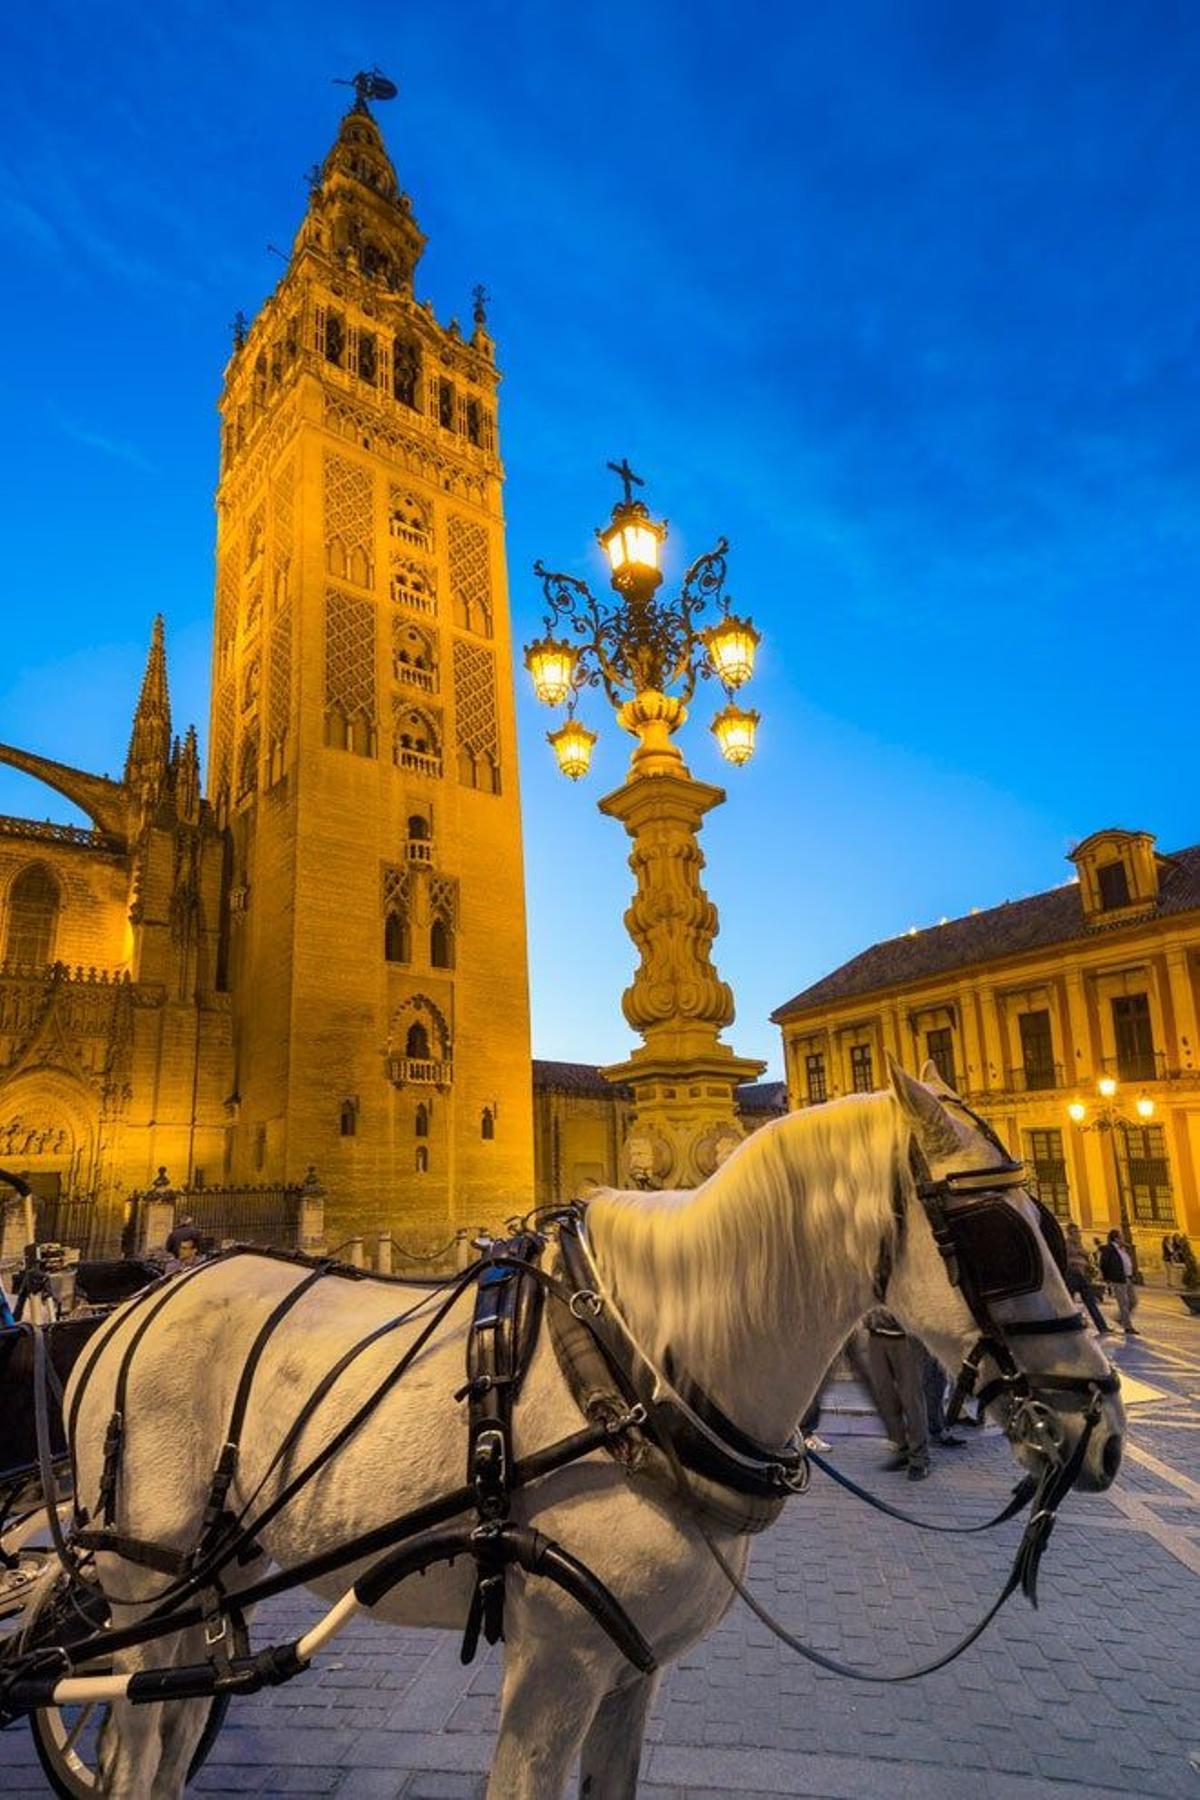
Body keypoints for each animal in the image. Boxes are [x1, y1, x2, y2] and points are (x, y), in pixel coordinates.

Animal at [61, 1058, 1122, 1792]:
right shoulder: (555, 1667)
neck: (638, 1373)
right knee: (130, 1750)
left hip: (219, 1576)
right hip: (143, 1582)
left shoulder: (632, 1668)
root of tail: (124, 1307)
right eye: (1006, 1239)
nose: (1103, 1430)